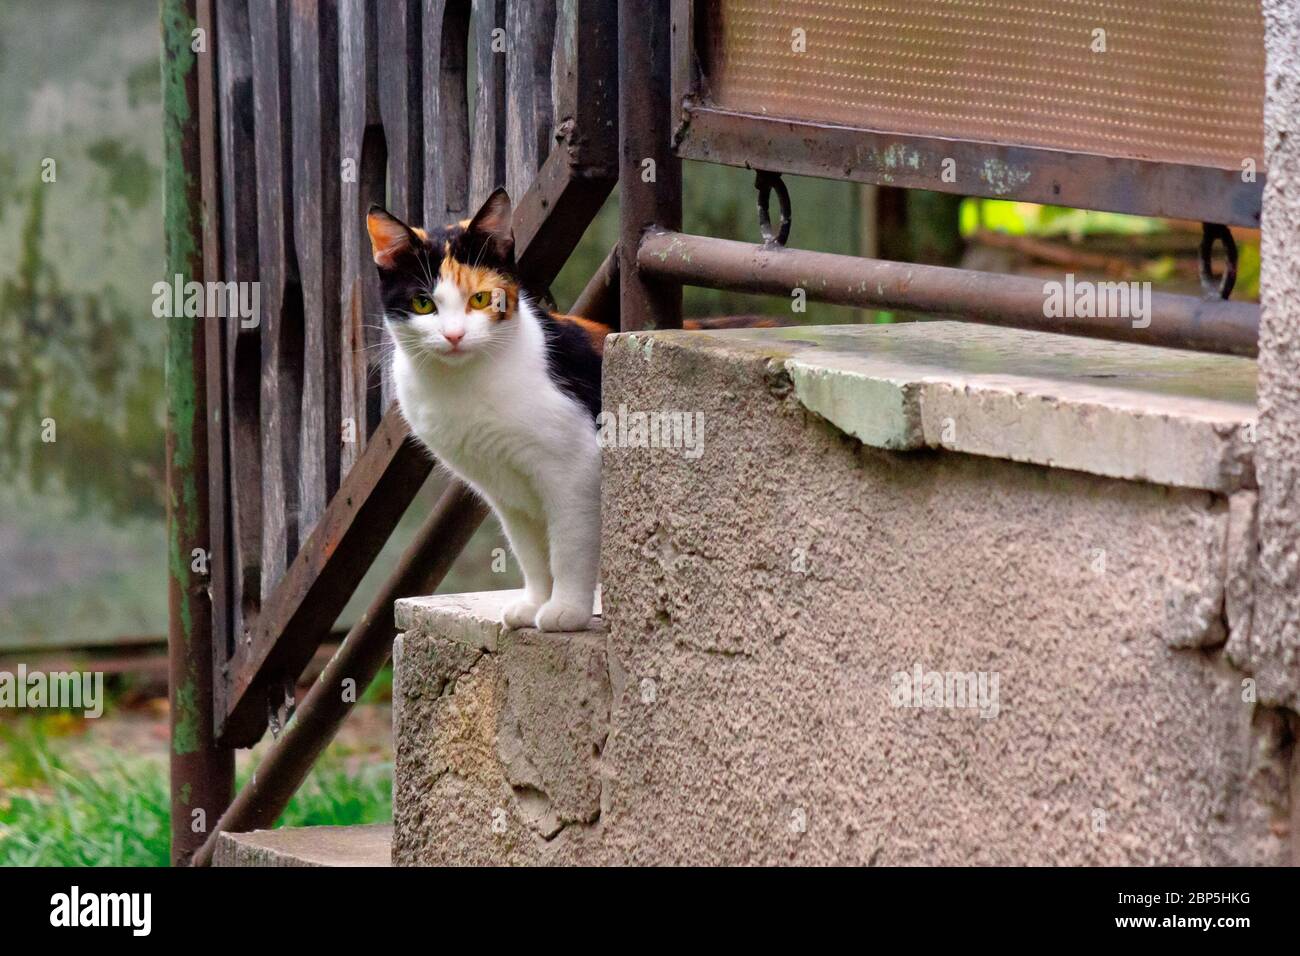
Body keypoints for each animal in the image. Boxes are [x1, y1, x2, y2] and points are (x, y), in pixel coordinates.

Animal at [366, 189, 603, 632]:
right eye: (423, 304)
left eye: (480, 299)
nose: (454, 335)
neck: (463, 386)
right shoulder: (506, 490)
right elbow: (531, 552)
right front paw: (534, 603)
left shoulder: (574, 471)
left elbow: (570, 546)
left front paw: (566, 610)